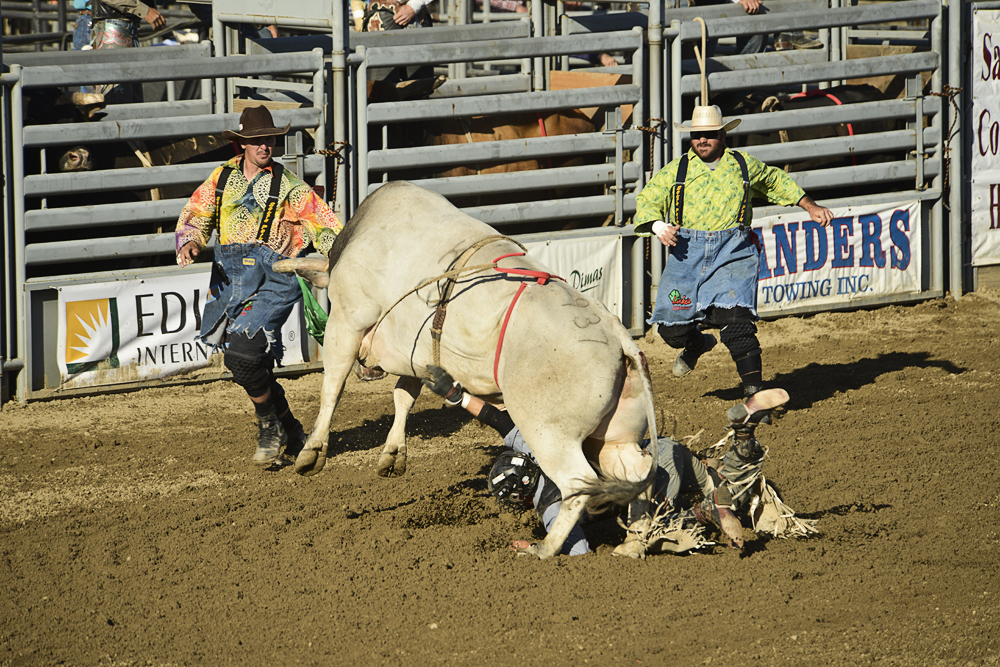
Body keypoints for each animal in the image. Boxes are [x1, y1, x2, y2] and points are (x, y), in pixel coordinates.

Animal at [278, 181, 660, 560]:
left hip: (550, 434)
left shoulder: (347, 321)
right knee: (638, 475)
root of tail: (617, 334)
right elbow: (404, 397)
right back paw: (631, 545)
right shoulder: (414, 354)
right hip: (613, 437)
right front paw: (393, 454)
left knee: (577, 484)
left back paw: (544, 548)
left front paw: (311, 453)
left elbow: (333, 386)